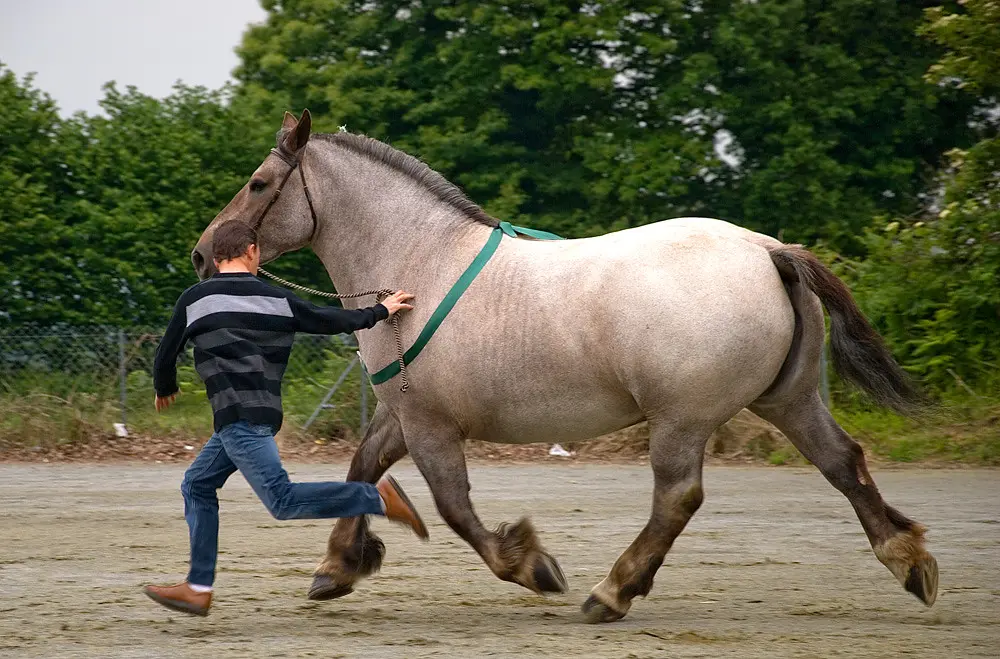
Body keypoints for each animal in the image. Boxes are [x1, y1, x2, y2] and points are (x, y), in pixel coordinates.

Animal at [191, 110, 938, 623]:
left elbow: (454, 508)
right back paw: (908, 560)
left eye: (259, 182)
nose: (203, 254)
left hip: (682, 420)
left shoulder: (432, 426)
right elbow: (361, 469)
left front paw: (529, 564)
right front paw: (338, 566)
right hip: (789, 401)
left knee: (677, 498)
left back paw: (613, 590)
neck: (420, 264)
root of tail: (766, 249)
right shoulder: (404, 416)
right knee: (843, 462)